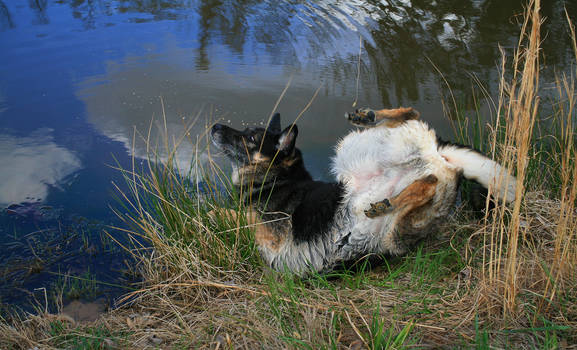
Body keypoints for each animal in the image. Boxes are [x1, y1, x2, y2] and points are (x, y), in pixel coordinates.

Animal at [209, 106, 516, 274]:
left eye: (250, 137)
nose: (215, 126)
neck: (276, 181)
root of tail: (437, 152)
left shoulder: (266, 232)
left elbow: (226, 215)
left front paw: (211, 215)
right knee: (427, 173)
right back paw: (370, 120)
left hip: (390, 221)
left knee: (425, 173)